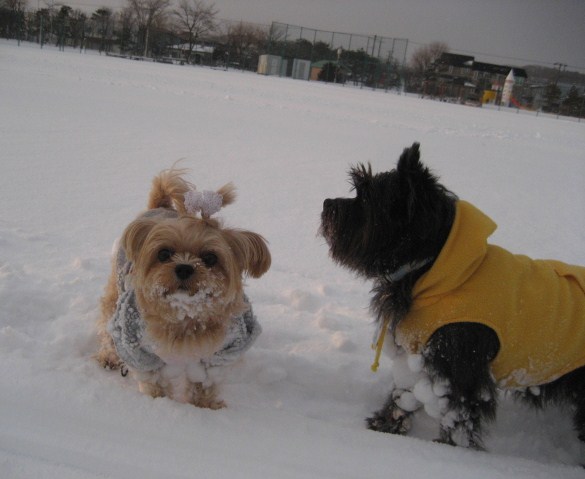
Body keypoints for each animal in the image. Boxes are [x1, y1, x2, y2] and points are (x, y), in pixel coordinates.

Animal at [97, 168, 270, 408]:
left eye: (210, 258)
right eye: (163, 253)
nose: (184, 268)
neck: (185, 315)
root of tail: (158, 205)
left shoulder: (223, 350)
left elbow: (206, 382)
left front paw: (206, 407)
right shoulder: (135, 344)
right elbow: (153, 379)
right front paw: (158, 402)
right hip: (116, 296)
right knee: (106, 324)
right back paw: (109, 356)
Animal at [322, 142, 584, 450]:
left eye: (366, 197)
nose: (326, 204)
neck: (432, 265)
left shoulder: (460, 369)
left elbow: (459, 415)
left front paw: (450, 450)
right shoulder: (420, 354)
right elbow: (404, 395)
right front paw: (386, 425)